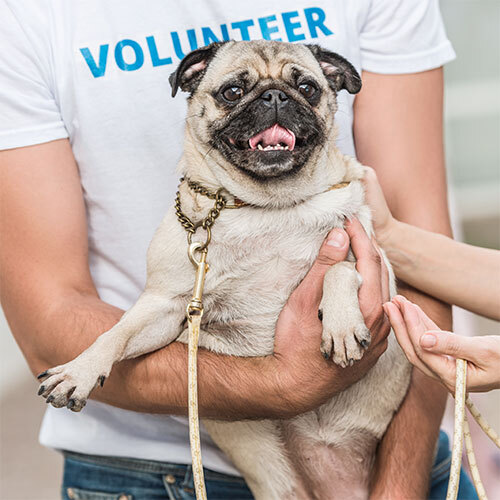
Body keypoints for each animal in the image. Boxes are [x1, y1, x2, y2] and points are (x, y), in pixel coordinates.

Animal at [38, 41, 410, 498]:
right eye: (232, 92)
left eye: (307, 87)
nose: (274, 96)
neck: (268, 208)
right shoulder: (164, 305)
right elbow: (116, 334)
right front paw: (79, 370)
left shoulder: (375, 266)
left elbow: (339, 270)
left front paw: (340, 326)